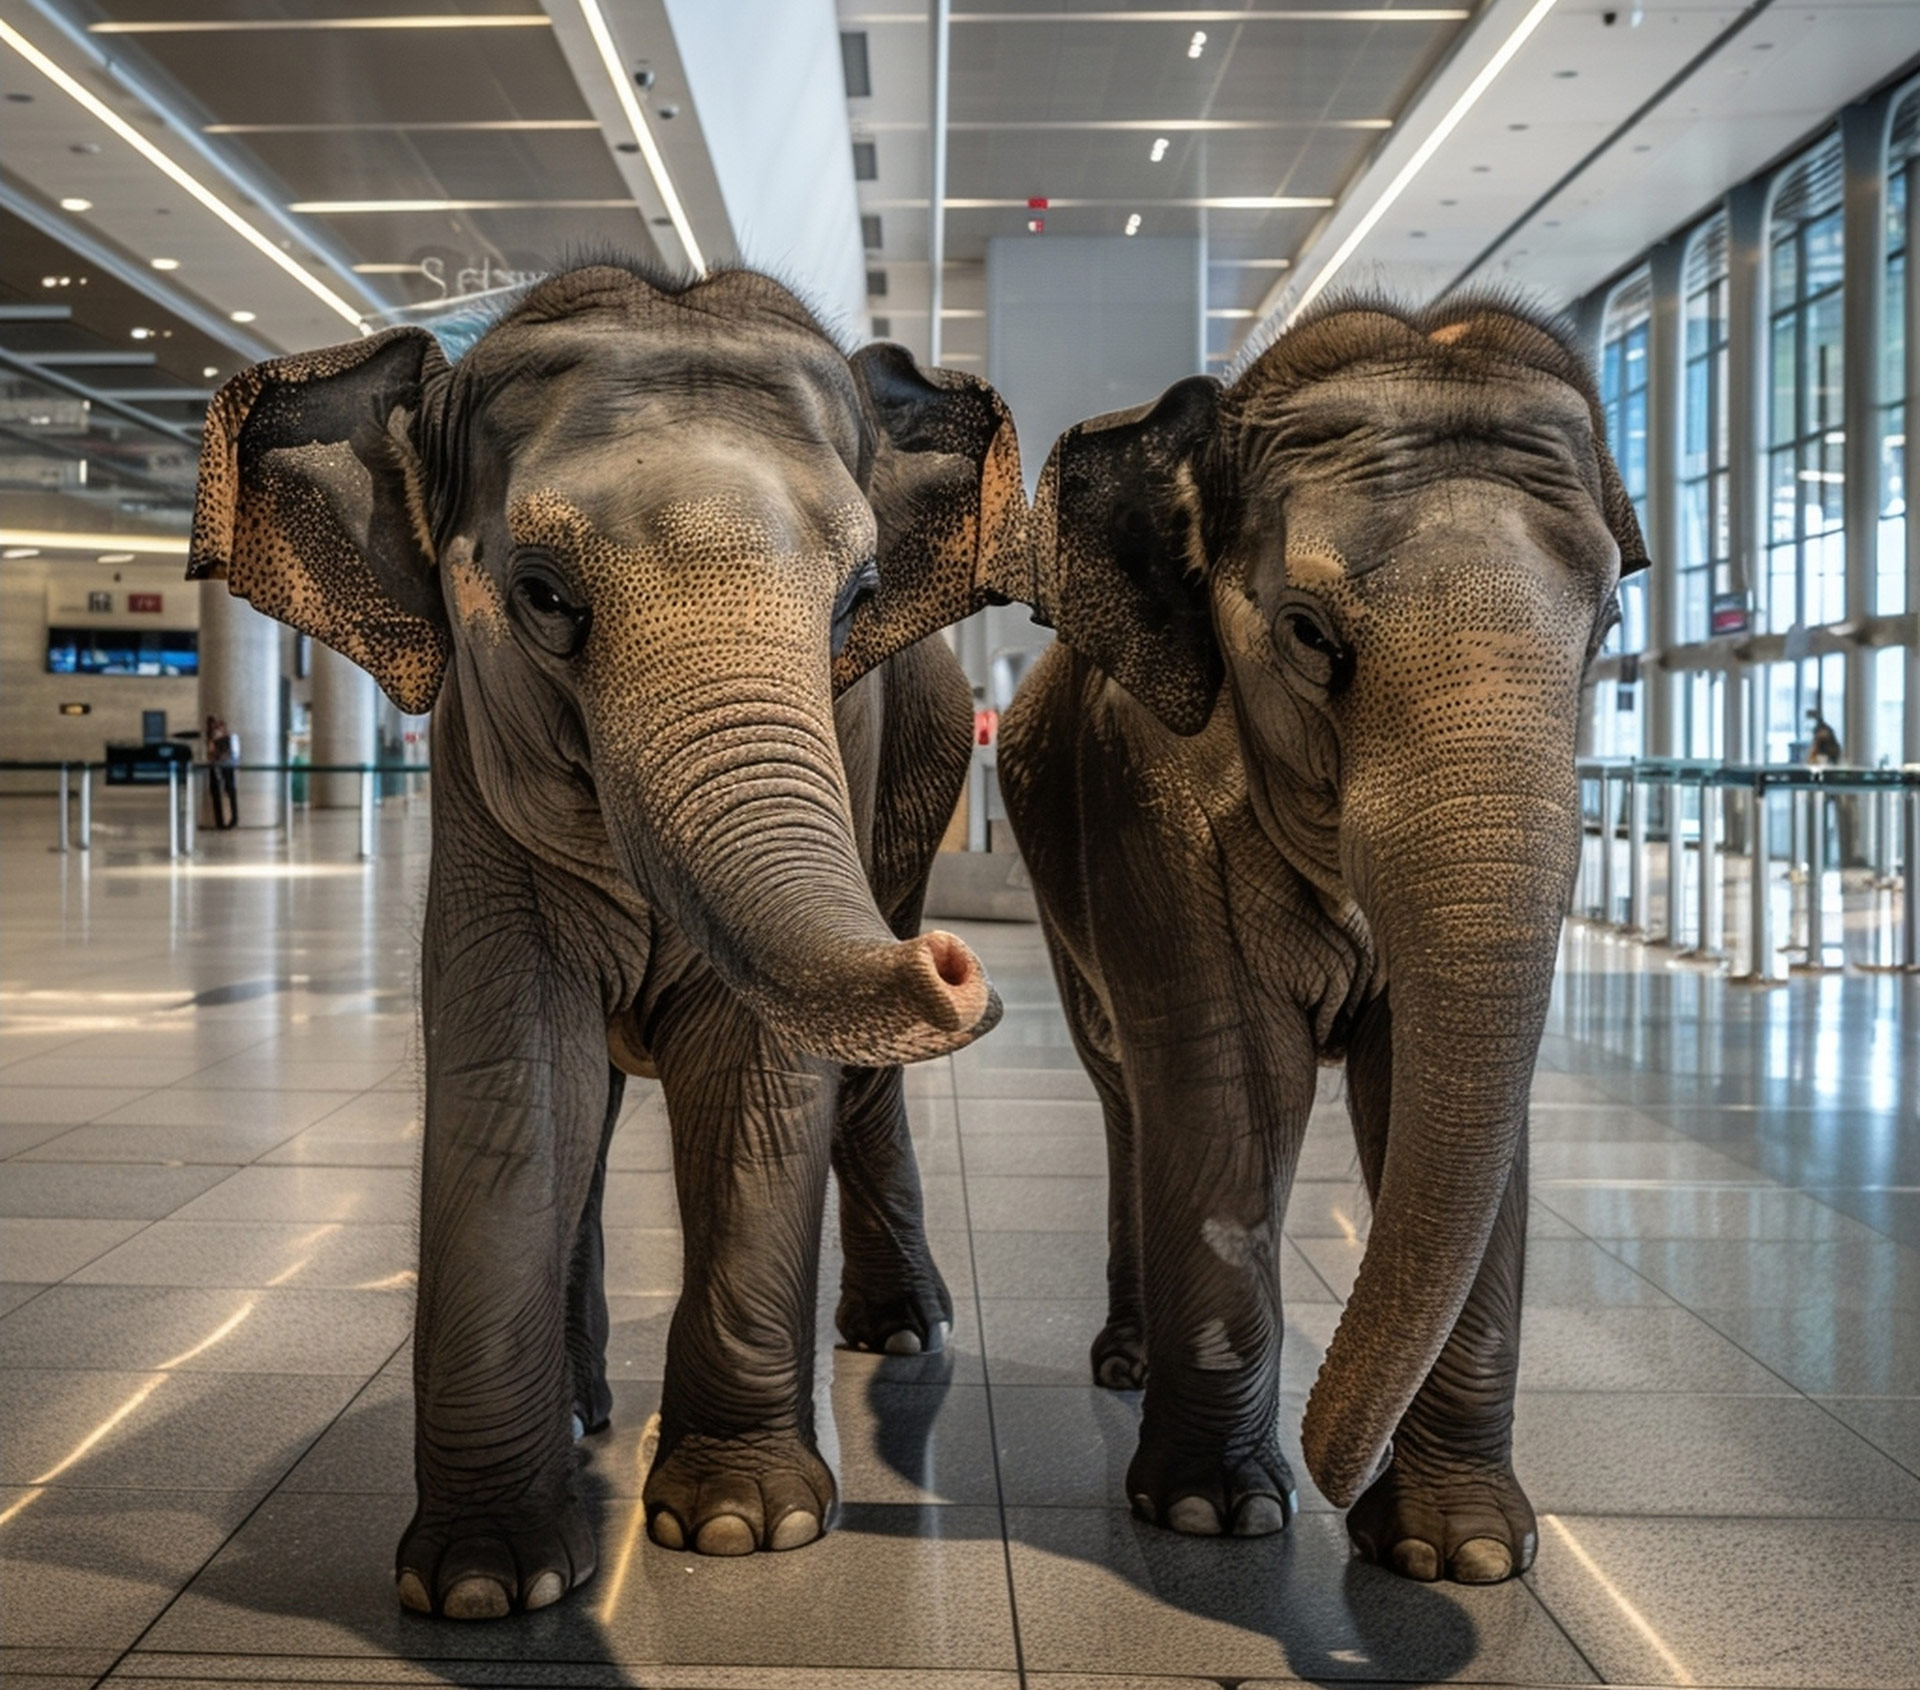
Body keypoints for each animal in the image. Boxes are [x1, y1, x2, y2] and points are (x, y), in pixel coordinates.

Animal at [187, 263, 1027, 1617]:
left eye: (858, 602)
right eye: (541, 595)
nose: (953, 961)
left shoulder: (855, 749)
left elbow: (762, 1078)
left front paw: (744, 1527)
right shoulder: (476, 784)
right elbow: (520, 1074)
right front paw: (486, 1584)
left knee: (850, 1088)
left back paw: (899, 1335)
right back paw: (586, 1411)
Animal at [996, 299, 1648, 1584]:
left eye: (1606, 629)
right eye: (1307, 633)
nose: (1336, 1471)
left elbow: (1442, 1095)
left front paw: (1462, 1555)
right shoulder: (1143, 792)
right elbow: (1238, 1088)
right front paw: (1214, 1515)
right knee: (1129, 1089)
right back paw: (1127, 1367)